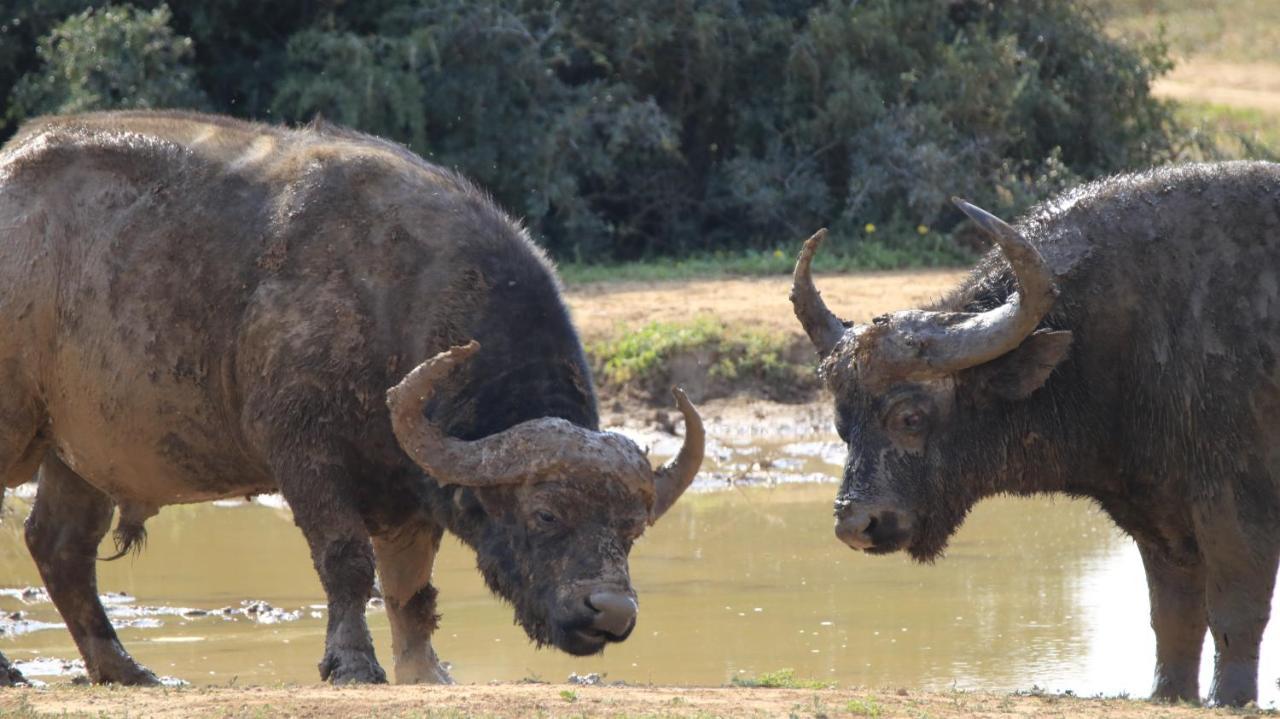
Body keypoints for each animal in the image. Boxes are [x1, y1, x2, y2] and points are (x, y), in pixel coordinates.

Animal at [0, 110, 706, 680]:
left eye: (631, 528)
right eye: (546, 515)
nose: (610, 613)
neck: (397, 301)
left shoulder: (409, 491)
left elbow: (410, 590)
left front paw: (424, 670)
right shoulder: (304, 456)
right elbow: (346, 561)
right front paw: (353, 663)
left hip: (76, 453)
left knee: (59, 545)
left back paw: (124, 668)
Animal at [793, 159, 1280, 701]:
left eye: (910, 417)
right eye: (842, 422)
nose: (857, 524)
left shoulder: (1237, 502)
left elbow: (1236, 611)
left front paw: (1231, 698)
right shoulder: (1156, 514)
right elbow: (1173, 615)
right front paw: (1168, 692)